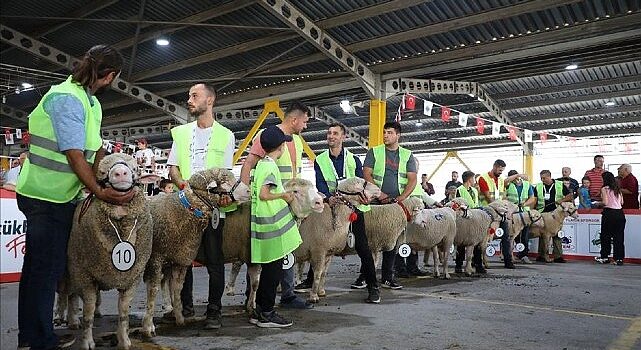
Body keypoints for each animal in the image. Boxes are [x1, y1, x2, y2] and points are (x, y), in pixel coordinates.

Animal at [62, 155, 152, 350]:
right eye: (101, 172)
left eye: (136, 168)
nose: (121, 173)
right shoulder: (86, 276)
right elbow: (87, 311)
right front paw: (87, 341)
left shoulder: (132, 278)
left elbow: (123, 312)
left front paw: (124, 340)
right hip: (73, 269)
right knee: (72, 296)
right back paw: (73, 321)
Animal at [140, 168, 250, 338]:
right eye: (225, 181)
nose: (249, 191)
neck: (187, 209)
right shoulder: (155, 258)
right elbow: (153, 290)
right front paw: (148, 327)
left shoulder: (181, 258)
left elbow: (177, 288)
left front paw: (180, 318)